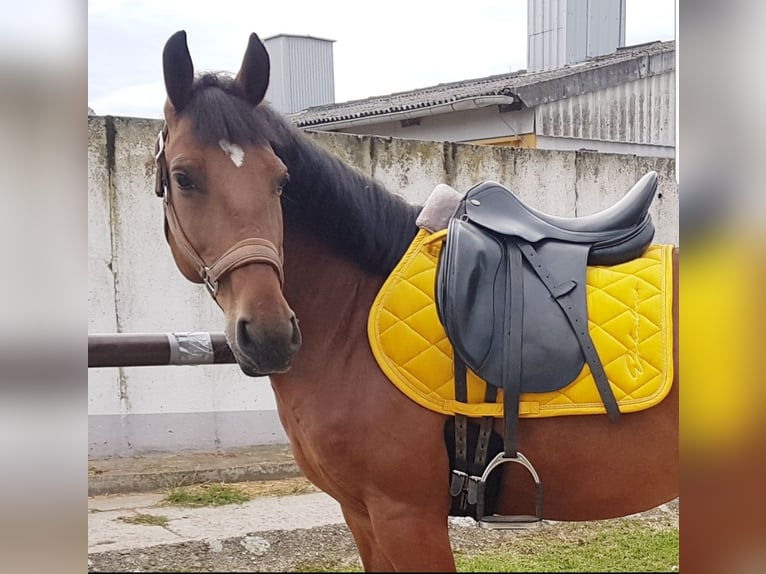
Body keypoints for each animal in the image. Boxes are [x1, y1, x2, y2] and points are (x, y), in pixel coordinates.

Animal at [154, 30, 680, 572]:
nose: (270, 334)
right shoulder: (360, 514)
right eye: (184, 177)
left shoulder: (405, 515)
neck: (350, 321)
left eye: (280, 179)